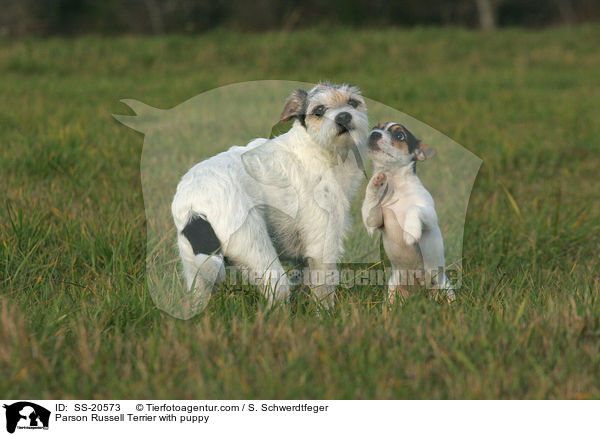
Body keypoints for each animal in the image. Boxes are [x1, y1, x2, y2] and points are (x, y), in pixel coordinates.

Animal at [169, 82, 366, 306]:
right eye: (319, 110)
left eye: (353, 102)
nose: (344, 117)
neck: (316, 148)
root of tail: (193, 206)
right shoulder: (322, 243)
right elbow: (323, 290)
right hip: (256, 250)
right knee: (277, 289)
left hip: (196, 270)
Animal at [360, 121, 454, 302]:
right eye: (376, 127)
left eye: (400, 136)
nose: (374, 134)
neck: (396, 185)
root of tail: (419, 292)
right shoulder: (375, 221)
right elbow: (371, 202)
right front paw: (376, 182)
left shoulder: (430, 216)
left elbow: (413, 208)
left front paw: (411, 232)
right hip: (393, 289)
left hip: (445, 288)